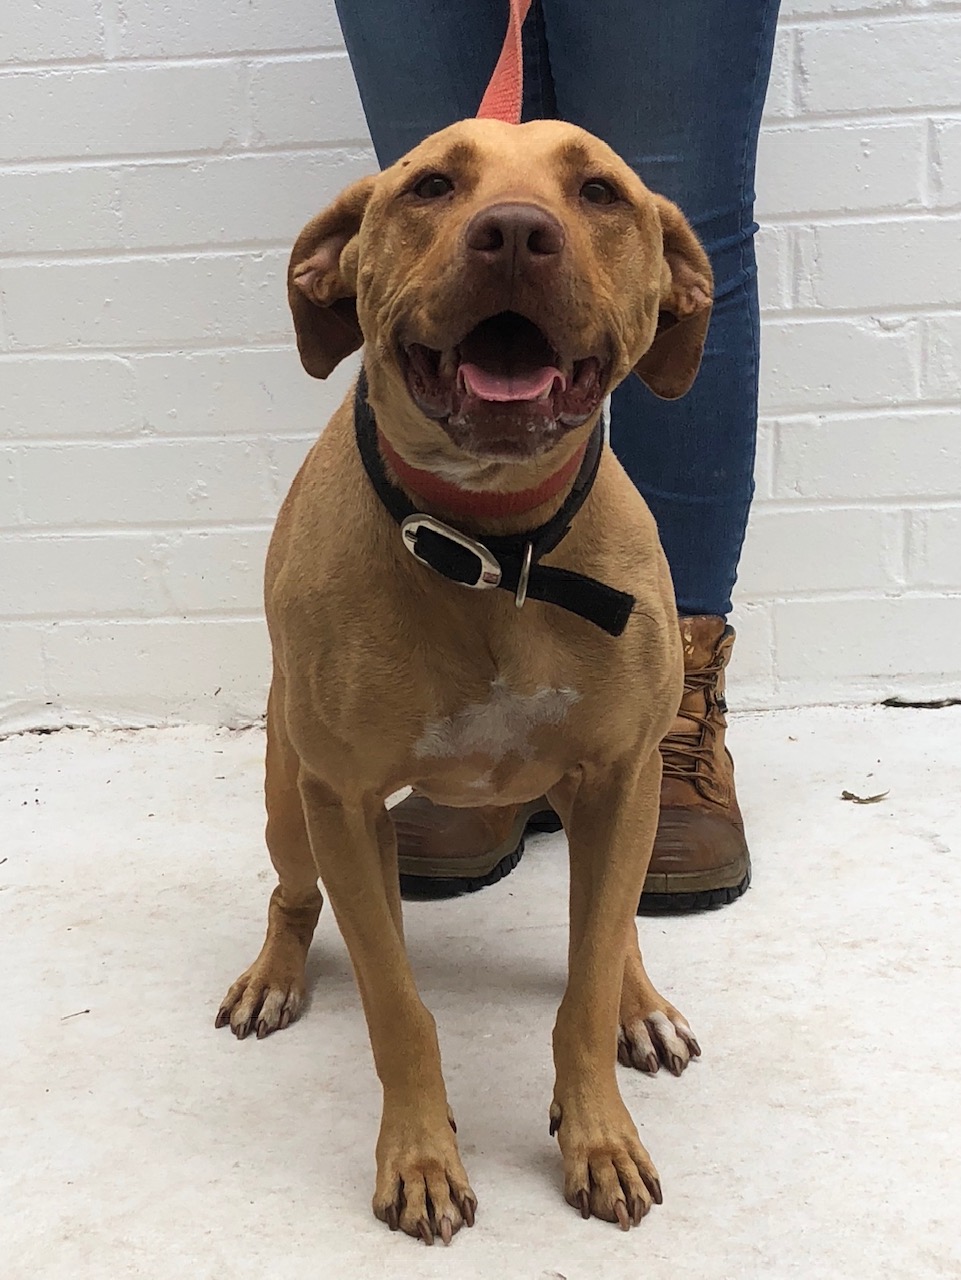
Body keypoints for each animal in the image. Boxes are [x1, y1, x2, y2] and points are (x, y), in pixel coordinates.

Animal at [216, 117, 713, 1244]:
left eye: (599, 192)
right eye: (431, 186)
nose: (517, 233)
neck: (495, 547)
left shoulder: (622, 774)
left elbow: (582, 987)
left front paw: (598, 1131)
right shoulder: (344, 799)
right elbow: (398, 1007)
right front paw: (421, 1154)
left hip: (620, 800)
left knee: (614, 922)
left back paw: (641, 1001)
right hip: (288, 799)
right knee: (295, 894)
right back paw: (275, 972)